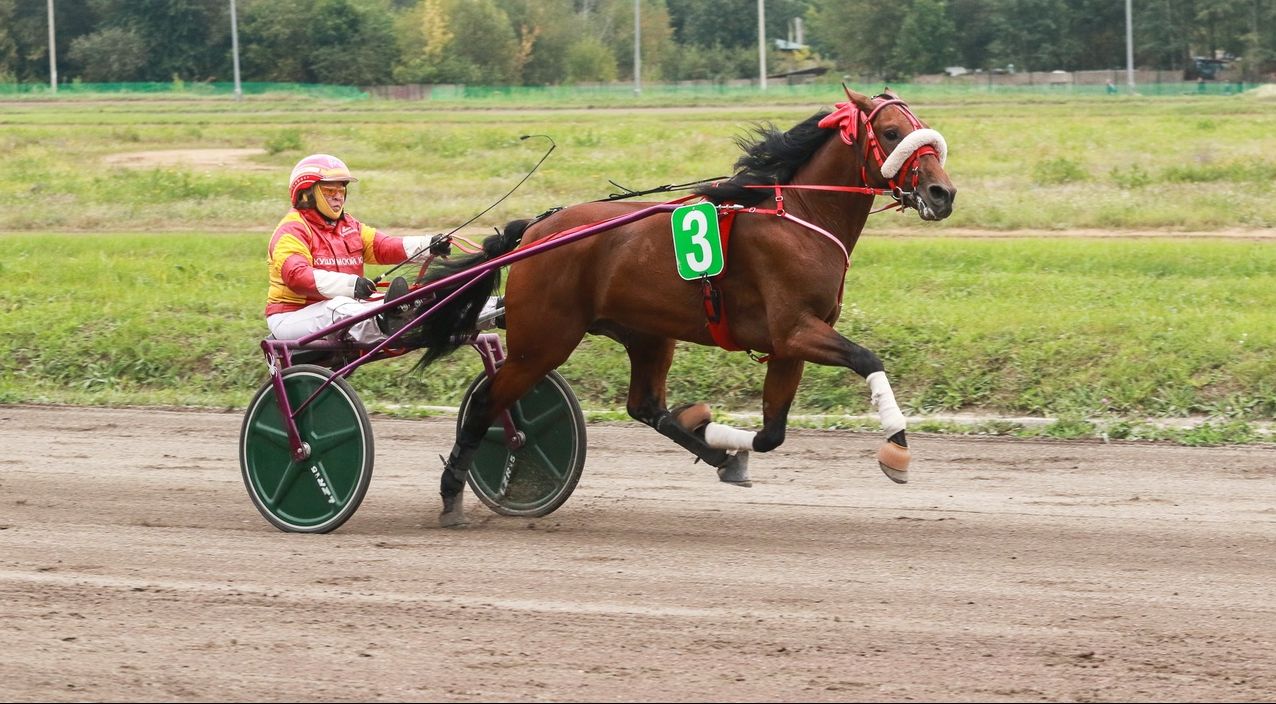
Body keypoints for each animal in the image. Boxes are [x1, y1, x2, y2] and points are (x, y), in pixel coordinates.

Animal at [418, 88, 959, 525]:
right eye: (891, 132)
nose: (943, 193)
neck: (801, 216)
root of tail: (534, 230)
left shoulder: (788, 347)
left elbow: (771, 434)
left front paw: (711, 430)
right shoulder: (796, 331)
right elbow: (868, 358)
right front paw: (897, 448)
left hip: (647, 334)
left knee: (645, 407)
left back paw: (710, 447)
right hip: (543, 342)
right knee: (487, 404)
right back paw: (452, 495)